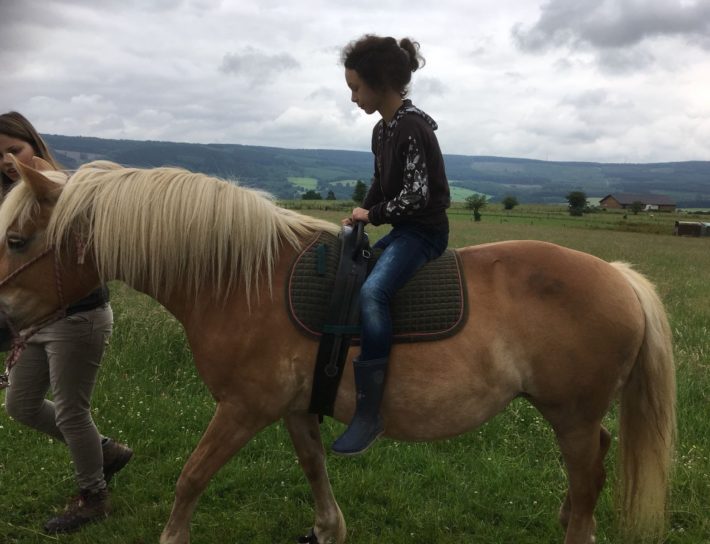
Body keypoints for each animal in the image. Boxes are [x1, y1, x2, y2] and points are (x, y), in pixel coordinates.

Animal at [0, 156, 676, 544]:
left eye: (16, 239)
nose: (3, 323)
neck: (241, 280)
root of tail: (621, 278)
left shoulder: (244, 408)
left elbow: (191, 477)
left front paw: (173, 537)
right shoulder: (297, 407)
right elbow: (312, 466)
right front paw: (329, 530)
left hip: (571, 413)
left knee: (588, 473)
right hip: (572, 414)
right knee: (595, 461)